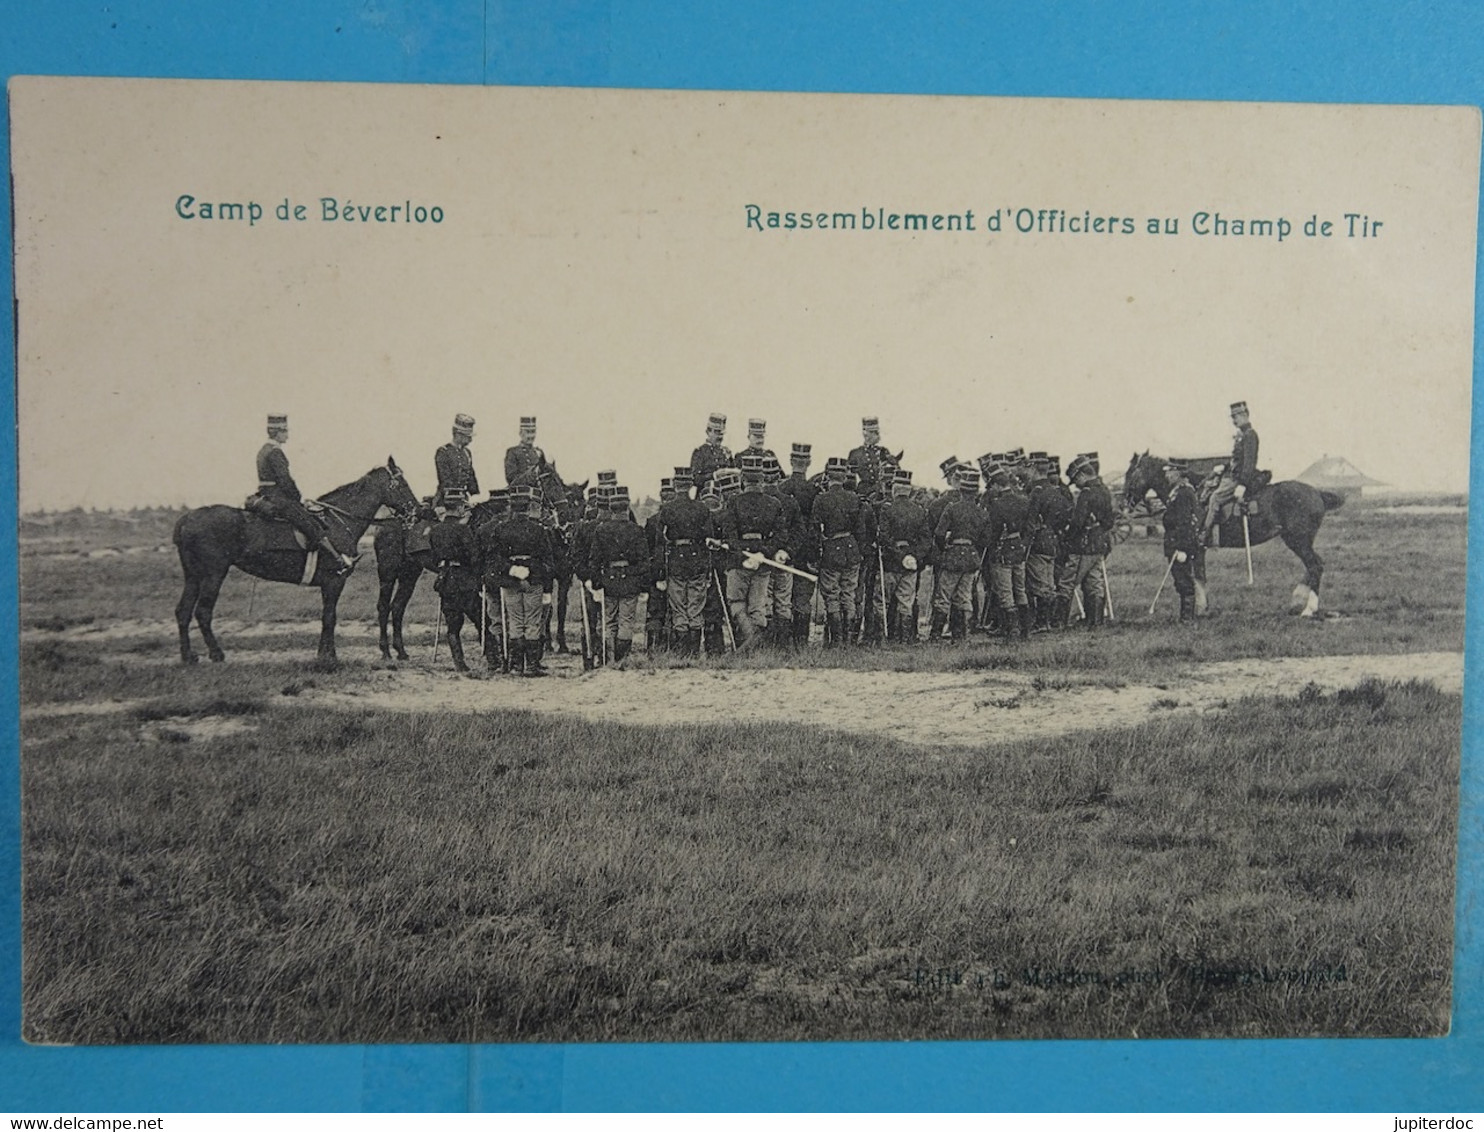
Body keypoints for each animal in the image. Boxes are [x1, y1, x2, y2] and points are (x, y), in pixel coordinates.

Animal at [175, 456, 418, 664]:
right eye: (403, 483)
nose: (417, 509)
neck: (339, 521)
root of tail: (186, 519)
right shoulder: (334, 581)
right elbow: (330, 617)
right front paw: (329, 657)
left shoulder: (328, 585)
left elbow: (327, 617)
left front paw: (324, 654)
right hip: (214, 574)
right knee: (203, 612)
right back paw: (216, 654)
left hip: (193, 576)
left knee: (183, 611)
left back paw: (189, 656)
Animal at [373, 465, 587, 664]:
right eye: (551, 481)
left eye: (583, 504)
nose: (567, 519)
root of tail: (387, 522)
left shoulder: (559, 577)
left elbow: (556, 608)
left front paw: (558, 645)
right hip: (388, 573)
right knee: (384, 606)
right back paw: (385, 651)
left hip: (409, 573)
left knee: (397, 606)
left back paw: (401, 651)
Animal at [1121, 451, 1347, 614]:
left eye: (1131, 474)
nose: (1124, 503)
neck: (1190, 491)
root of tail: (1317, 492)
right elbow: (1200, 576)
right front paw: (1204, 607)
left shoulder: (1197, 547)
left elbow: (1198, 577)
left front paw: (1201, 609)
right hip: (1299, 542)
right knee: (1312, 567)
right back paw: (1298, 598)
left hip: (1298, 541)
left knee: (1315, 565)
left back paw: (1309, 608)